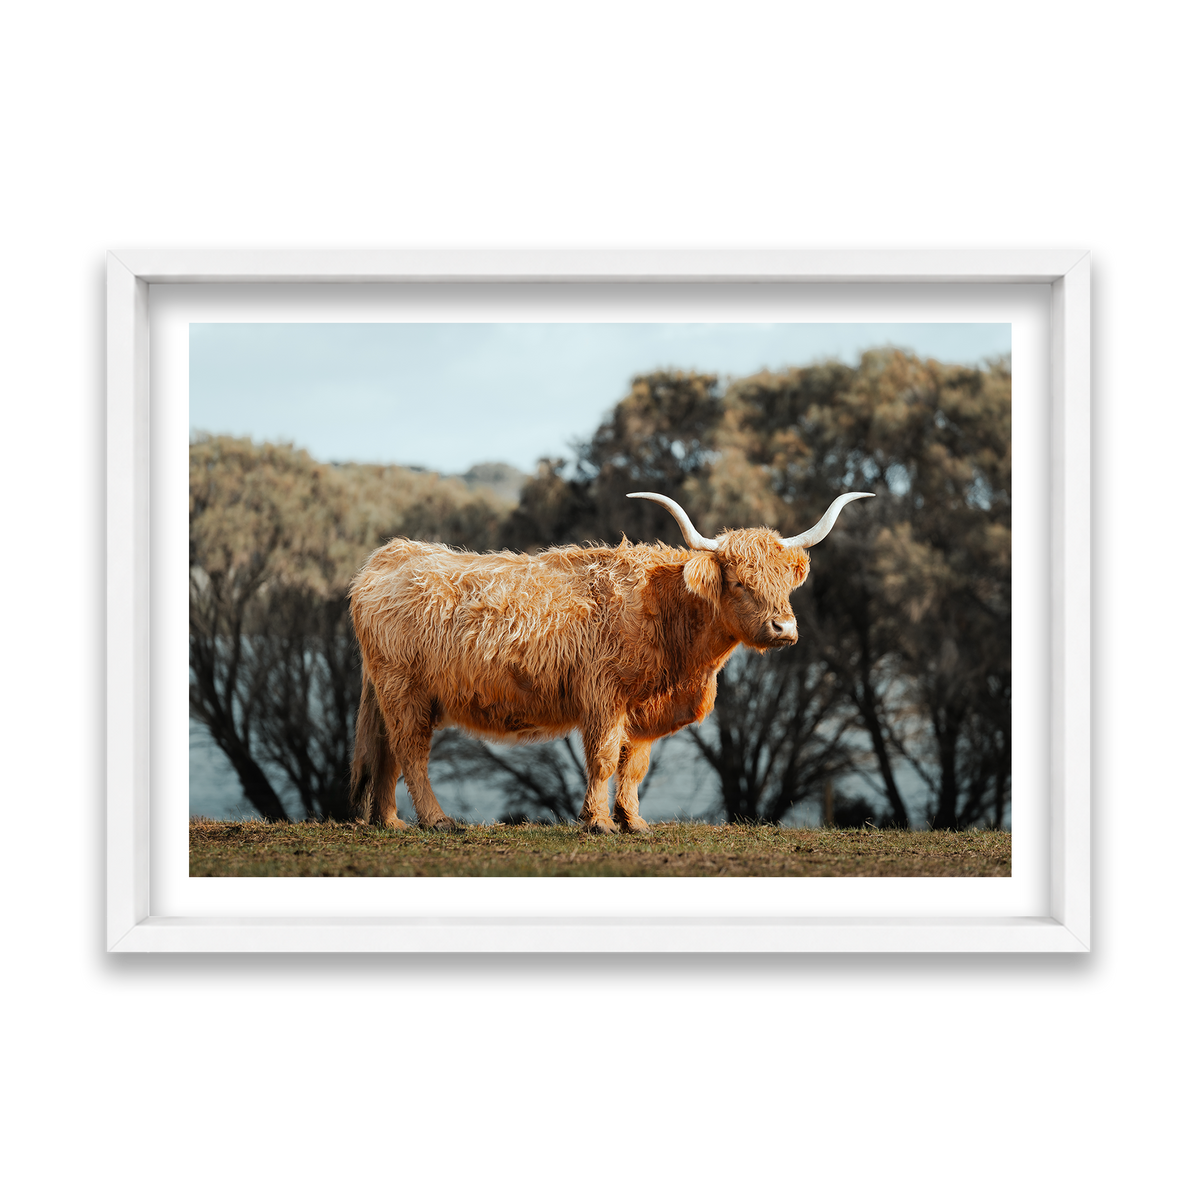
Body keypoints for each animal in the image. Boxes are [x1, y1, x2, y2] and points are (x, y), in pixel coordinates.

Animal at [347, 491, 872, 833]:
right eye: (741, 582)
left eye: (785, 582)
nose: (784, 628)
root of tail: (390, 554)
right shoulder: (604, 696)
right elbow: (602, 759)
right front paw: (598, 822)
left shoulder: (643, 709)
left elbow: (633, 765)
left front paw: (634, 821)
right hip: (405, 690)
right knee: (411, 752)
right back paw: (437, 821)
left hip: (392, 694)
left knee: (387, 752)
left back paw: (390, 822)